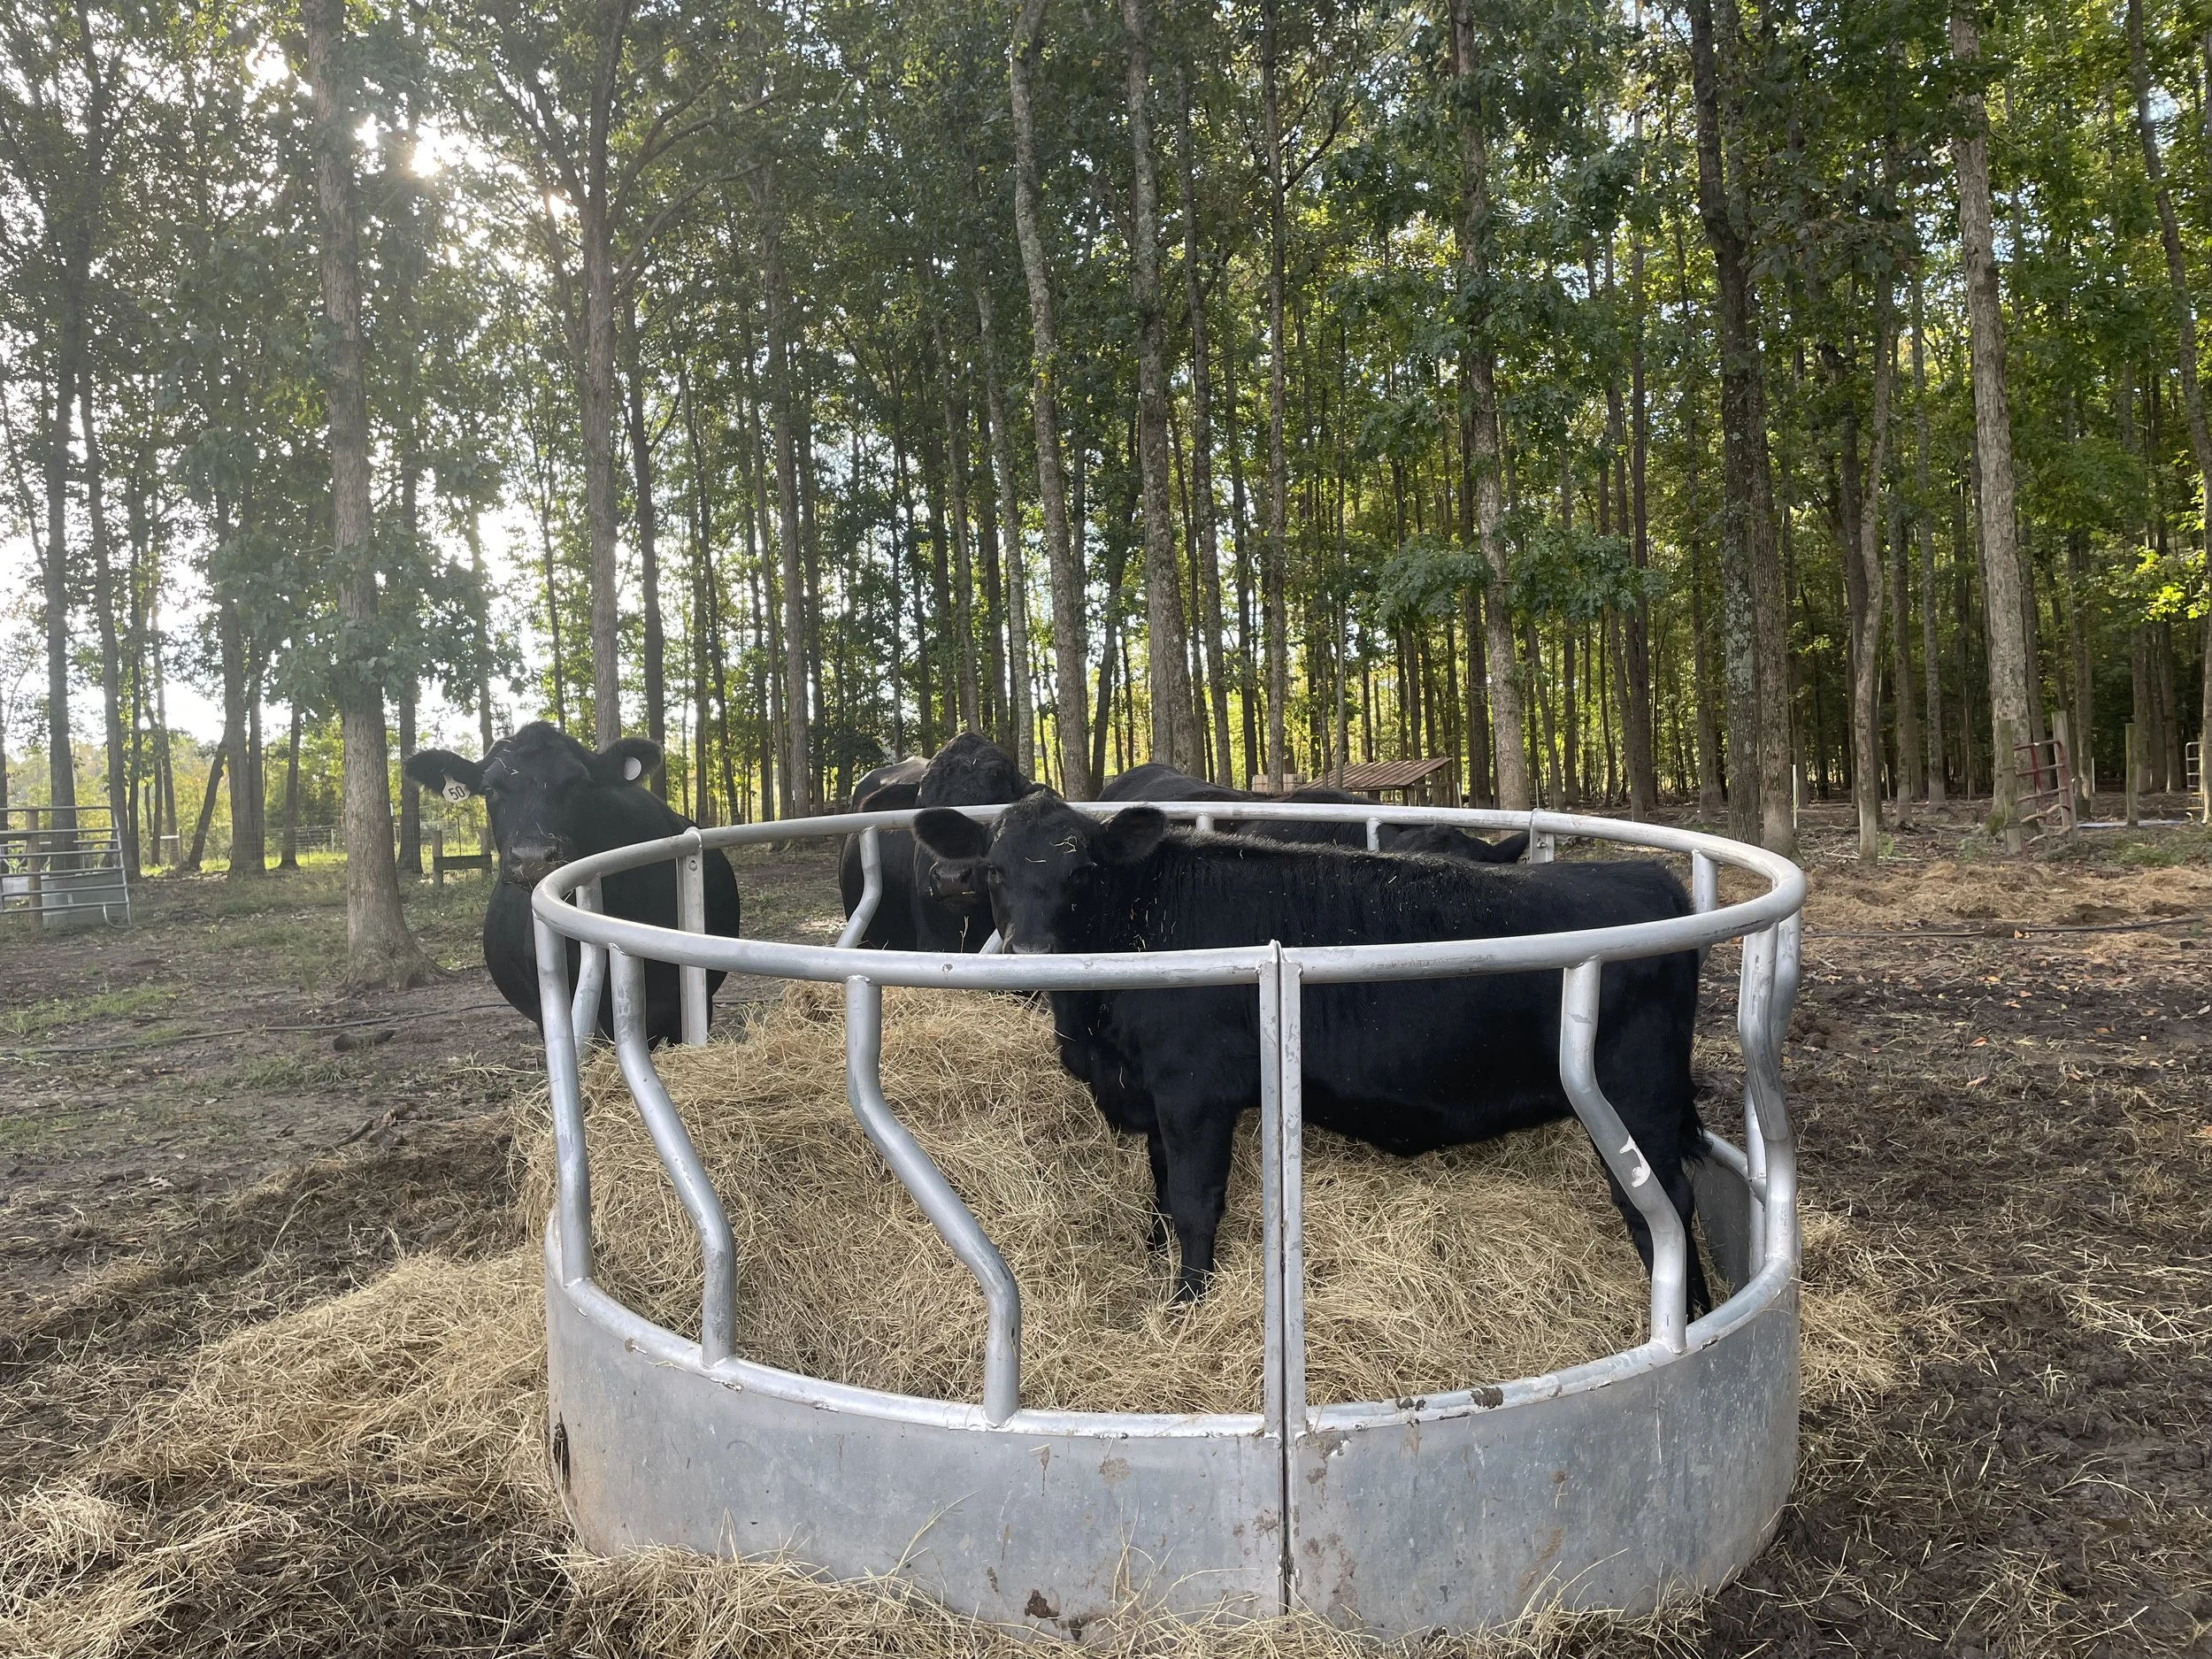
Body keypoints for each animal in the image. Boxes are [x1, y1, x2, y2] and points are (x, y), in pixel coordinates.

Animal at [912, 794, 1707, 1310]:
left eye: (1081, 872)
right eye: (993, 870)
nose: (1030, 953)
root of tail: (1645, 876)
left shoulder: (1195, 1091)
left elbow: (1194, 1200)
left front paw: (1185, 1303)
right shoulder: (1157, 1094)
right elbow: (1161, 1191)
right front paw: (1155, 1260)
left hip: (1637, 1094)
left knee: (1663, 1202)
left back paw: (1690, 1311)